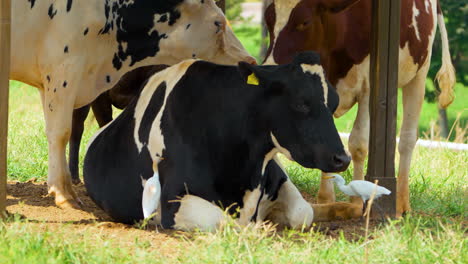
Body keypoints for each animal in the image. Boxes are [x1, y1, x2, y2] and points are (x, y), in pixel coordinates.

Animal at [84, 52, 350, 231]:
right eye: (301, 103)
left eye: (334, 103)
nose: (342, 158)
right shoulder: (173, 199)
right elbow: (222, 220)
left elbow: (303, 213)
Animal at [266, 0, 456, 217]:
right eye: (268, 19)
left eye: (304, 22)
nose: (268, 67)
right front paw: (326, 200)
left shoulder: (368, 87)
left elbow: (358, 144)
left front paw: (357, 201)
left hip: (419, 75)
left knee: (407, 139)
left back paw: (401, 202)